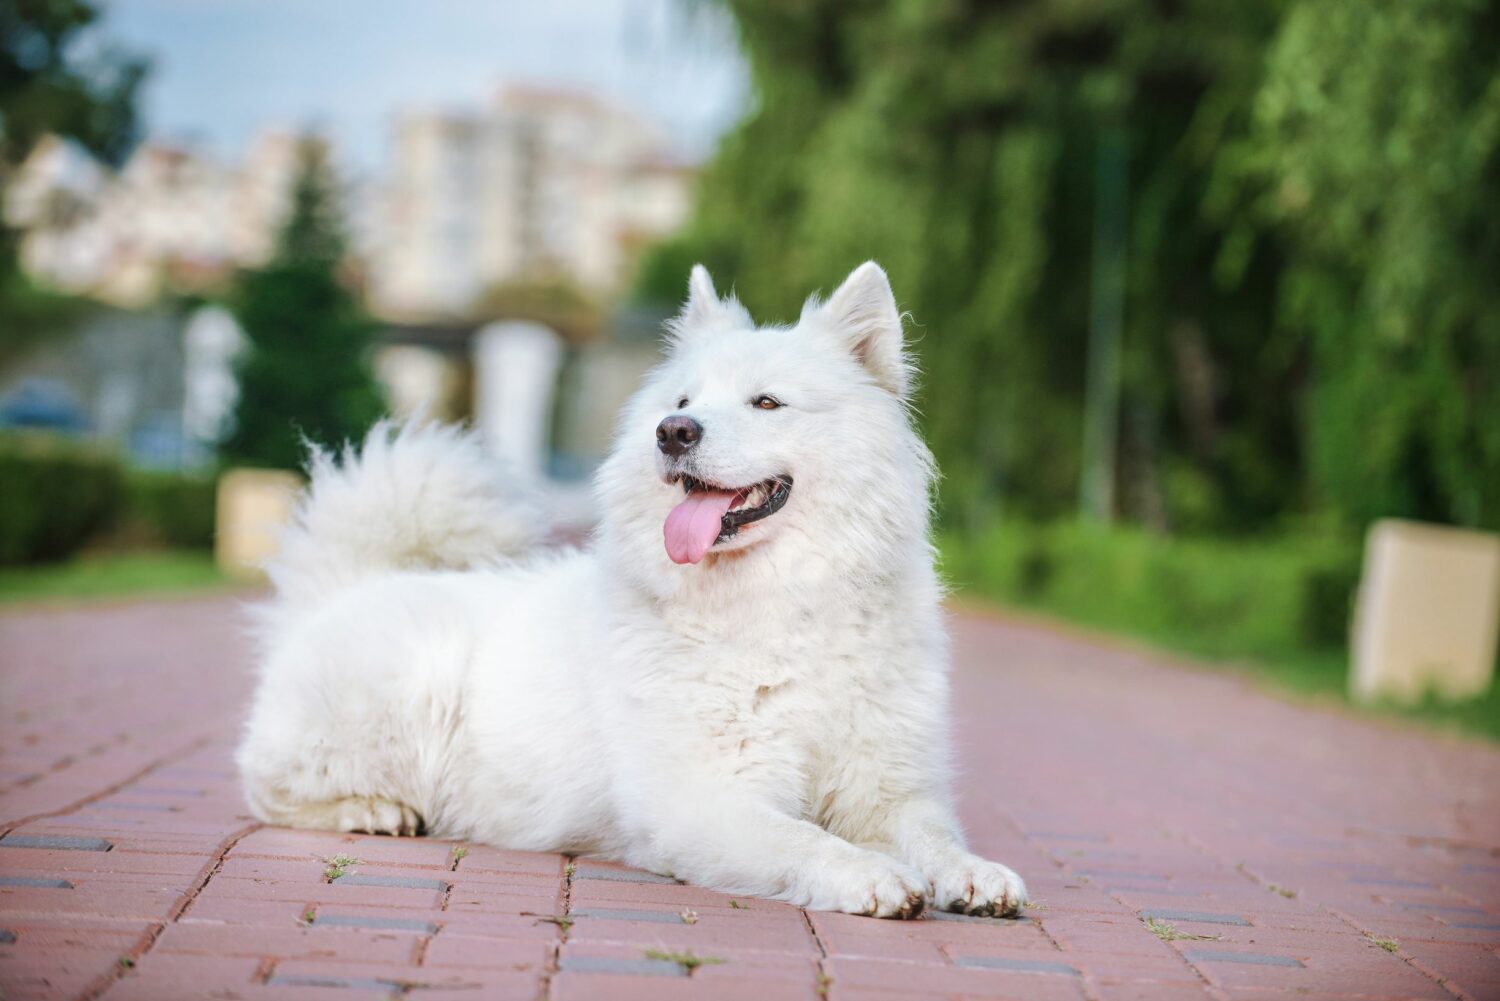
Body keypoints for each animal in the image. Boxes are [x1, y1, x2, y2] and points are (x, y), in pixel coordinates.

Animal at [237, 264, 1032, 918]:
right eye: (683, 400)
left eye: (767, 402)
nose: (673, 430)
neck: (787, 605)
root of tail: (339, 588)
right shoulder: (707, 799)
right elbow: (807, 841)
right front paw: (873, 876)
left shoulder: (887, 787)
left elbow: (933, 835)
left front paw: (974, 873)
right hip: (407, 693)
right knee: (267, 787)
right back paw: (372, 809)